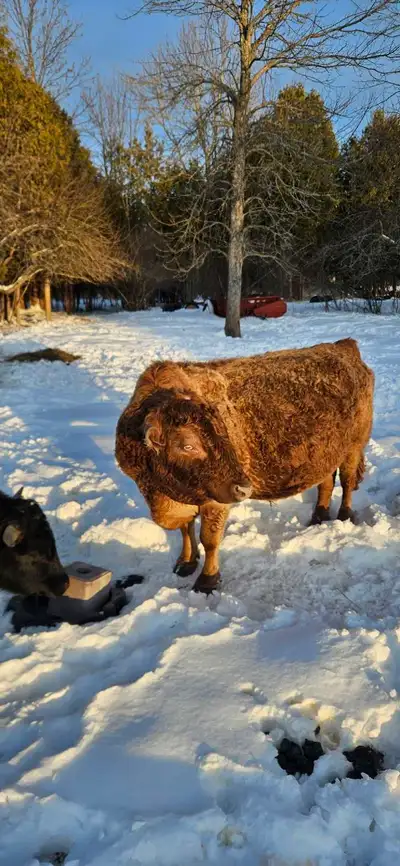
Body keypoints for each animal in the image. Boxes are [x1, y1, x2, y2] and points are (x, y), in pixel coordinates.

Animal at [116, 338, 374, 594]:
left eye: (225, 435)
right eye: (187, 445)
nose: (244, 489)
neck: (161, 494)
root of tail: (343, 346)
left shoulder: (216, 500)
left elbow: (209, 539)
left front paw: (207, 580)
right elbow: (185, 529)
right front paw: (186, 562)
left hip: (353, 447)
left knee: (347, 482)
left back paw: (343, 516)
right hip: (326, 455)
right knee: (326, 483)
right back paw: (319, 516)